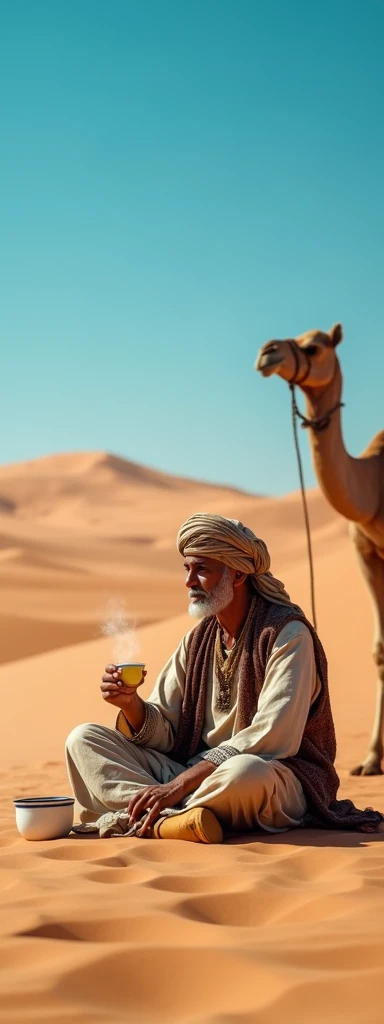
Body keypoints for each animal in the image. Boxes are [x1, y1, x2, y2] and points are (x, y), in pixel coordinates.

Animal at [256, 323, 384, 770]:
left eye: (314, 347)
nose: (268, 352)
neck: (372, 487)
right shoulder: (364, 551)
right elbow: (380, 651)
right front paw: (371, 759)